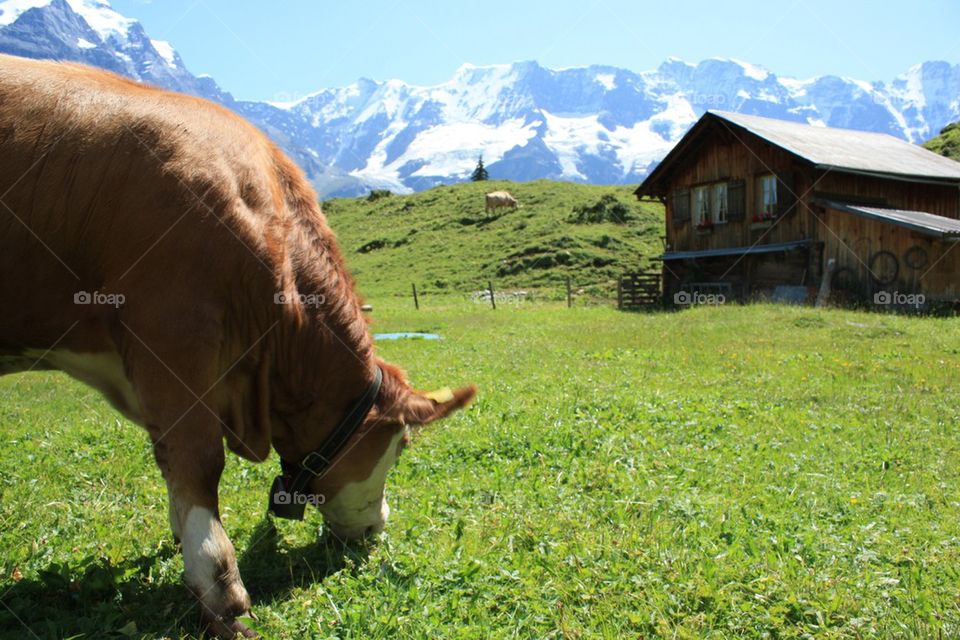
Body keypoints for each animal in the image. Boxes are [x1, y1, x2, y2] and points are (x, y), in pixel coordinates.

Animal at [0, 56, 474, 640]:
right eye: (401, 445)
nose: (378, 529)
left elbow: (172, 463)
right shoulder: (174, 334)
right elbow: (199, 462)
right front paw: (221, 591)